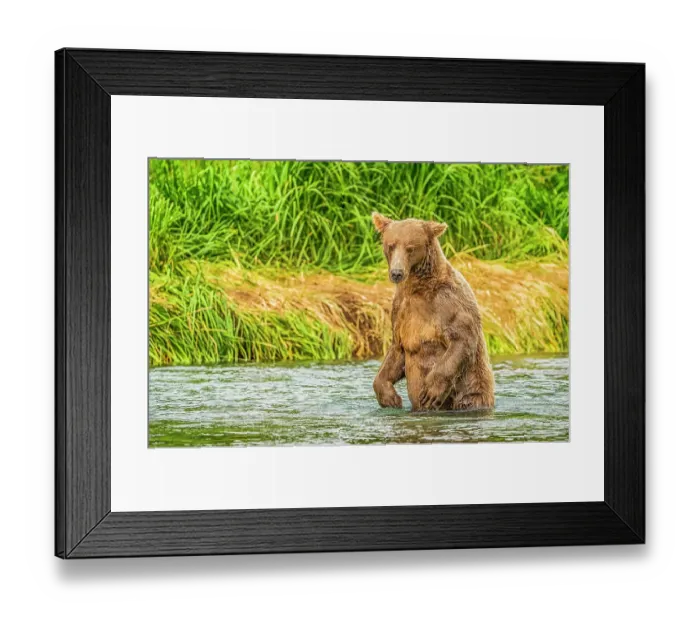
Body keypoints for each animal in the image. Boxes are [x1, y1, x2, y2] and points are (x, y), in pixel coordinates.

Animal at [371, 213, 495, 411]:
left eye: (410, 248)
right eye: (390, 245)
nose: (397, 273)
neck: (418, 288)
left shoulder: (448, 304)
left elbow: (461, 339)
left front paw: (430, 392)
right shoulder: (401, 311)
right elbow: (397, 351)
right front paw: (390, 397)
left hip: (471, 392)